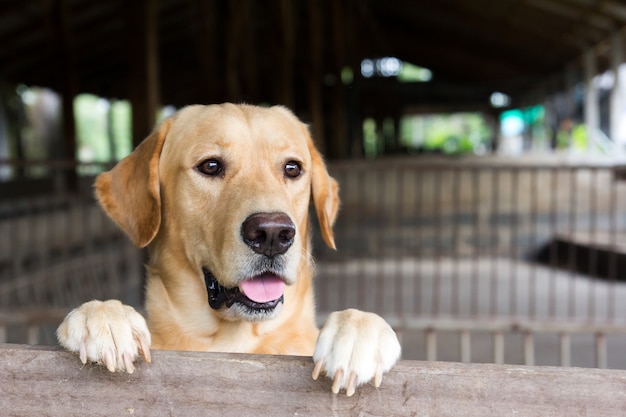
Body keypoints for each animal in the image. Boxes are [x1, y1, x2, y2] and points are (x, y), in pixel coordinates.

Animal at [58, 102, 400, 394]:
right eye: (210, 165)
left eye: (292, 168)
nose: (273, 234)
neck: (234, 339)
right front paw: (104, 316)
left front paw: (357, 334)